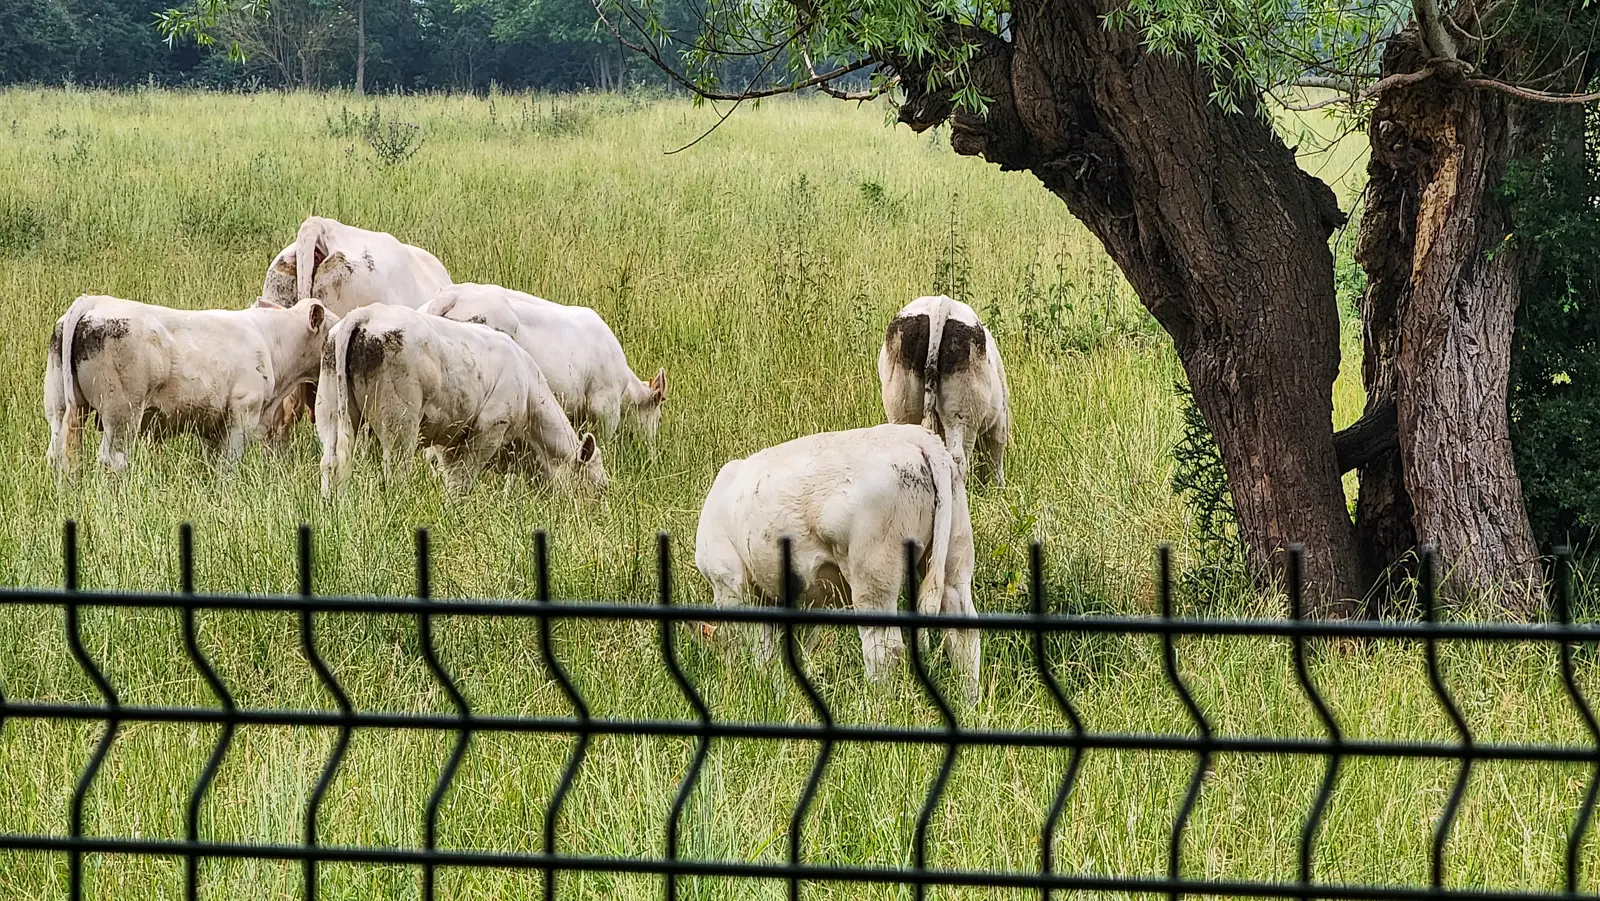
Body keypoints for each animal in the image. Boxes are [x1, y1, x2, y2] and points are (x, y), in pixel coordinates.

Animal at [45, 294, 336, 472]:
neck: (269, 339)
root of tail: (93, 301)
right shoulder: (241, 415)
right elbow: (229, 466)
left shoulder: (213, 426)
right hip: (121, 415)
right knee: (112, 461)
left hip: (59, 408)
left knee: (59, 457)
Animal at [316, 304, 606, 499]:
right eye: (599, 487)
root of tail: (368, 312)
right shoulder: (488, 431)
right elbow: (461, 482)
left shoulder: (449, 444)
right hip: (399, 421)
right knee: (396, 470)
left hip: (330, 410)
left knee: (331, 463)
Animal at [694, 423, 979, 699]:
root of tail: (915, 436)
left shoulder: (731, 583)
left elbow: (761, 650)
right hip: (955, 556)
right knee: (964, 635)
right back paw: (969, 702)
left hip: (873, 575)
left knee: (886, 650)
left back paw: (877, 703)